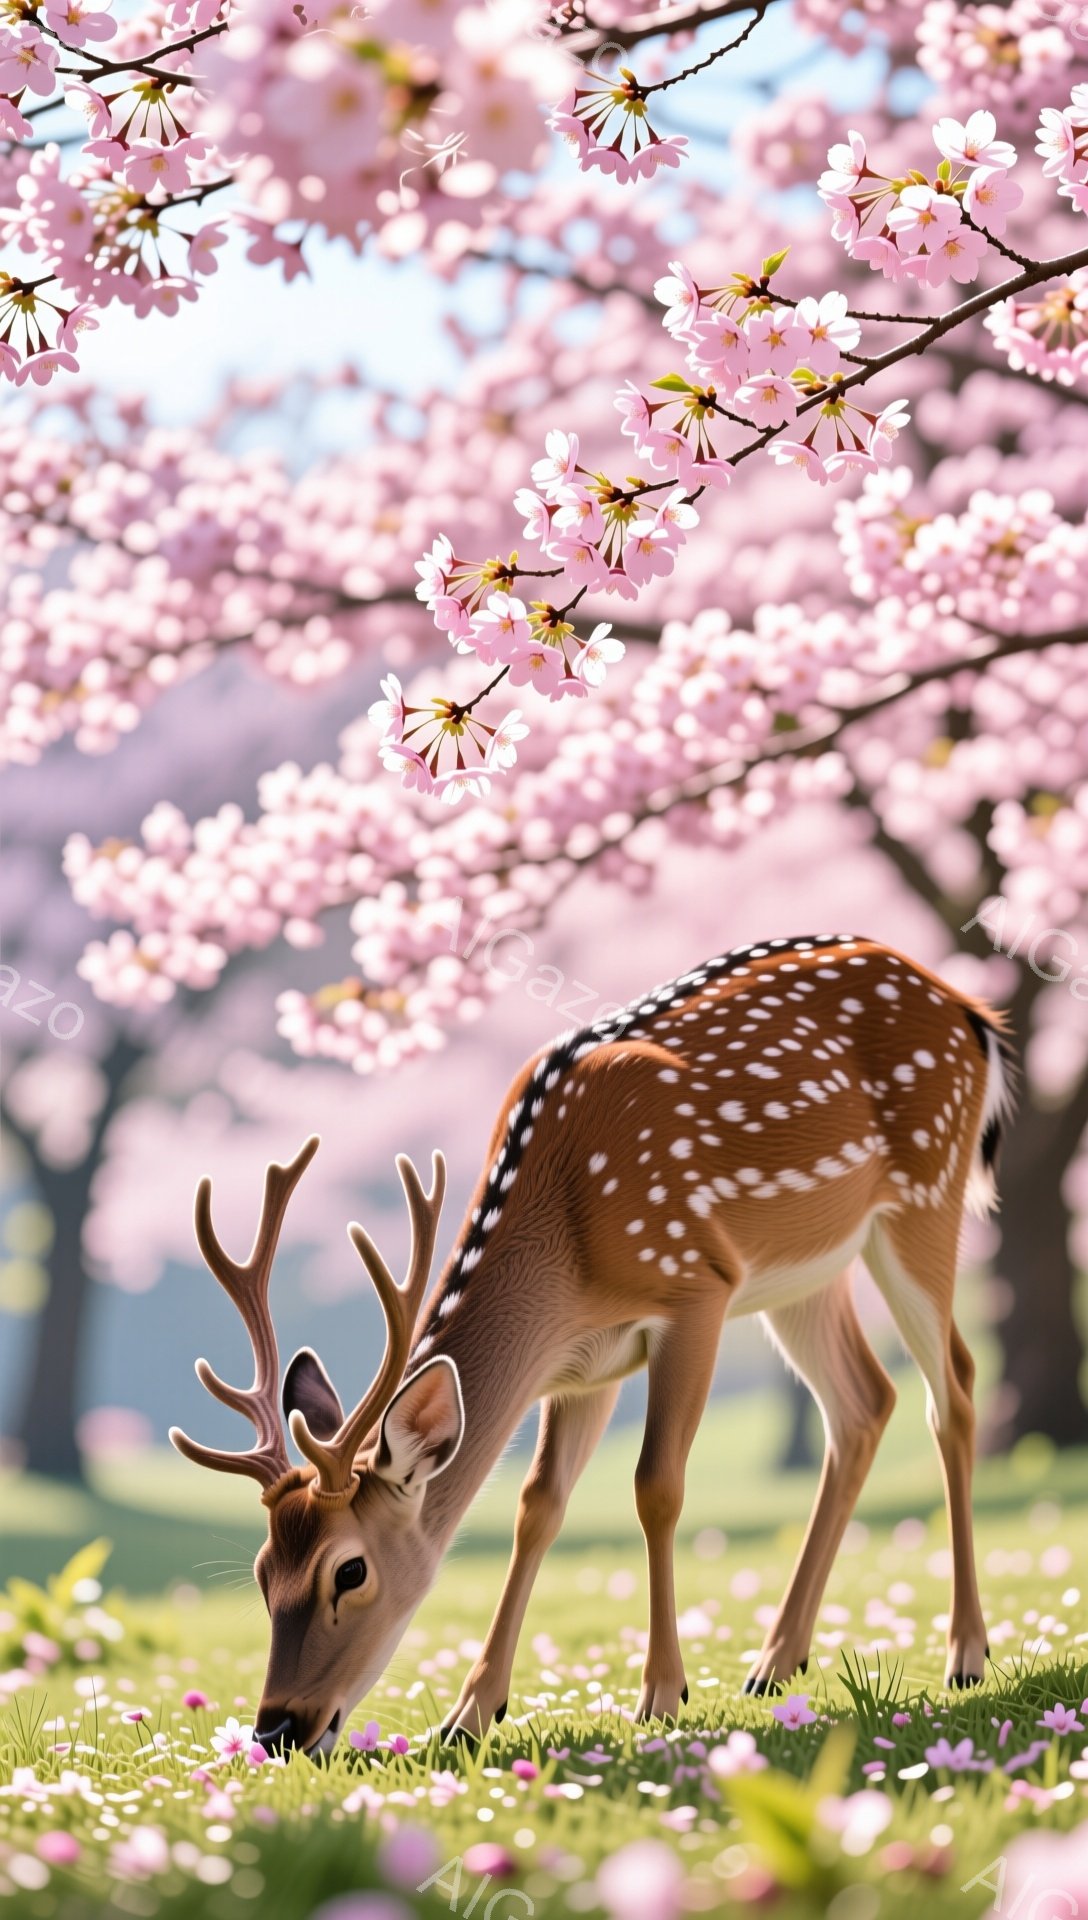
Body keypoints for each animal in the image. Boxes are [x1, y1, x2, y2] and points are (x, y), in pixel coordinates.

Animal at [170, 933, 1014, 1757]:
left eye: (349, 1570)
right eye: (263, 1571)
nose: (278, 1729)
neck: (567, 1241)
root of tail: (972, 1014)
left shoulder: (695, 1286)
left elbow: (656, 1486)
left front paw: (662, 1694)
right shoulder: (584, 1364)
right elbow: (538, 1504)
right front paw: (471, 1713)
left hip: (926, 1191)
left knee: (955, 1388)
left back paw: (967, 1655)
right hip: (805, 1273)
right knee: (864, 1402)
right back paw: (776, 1662)